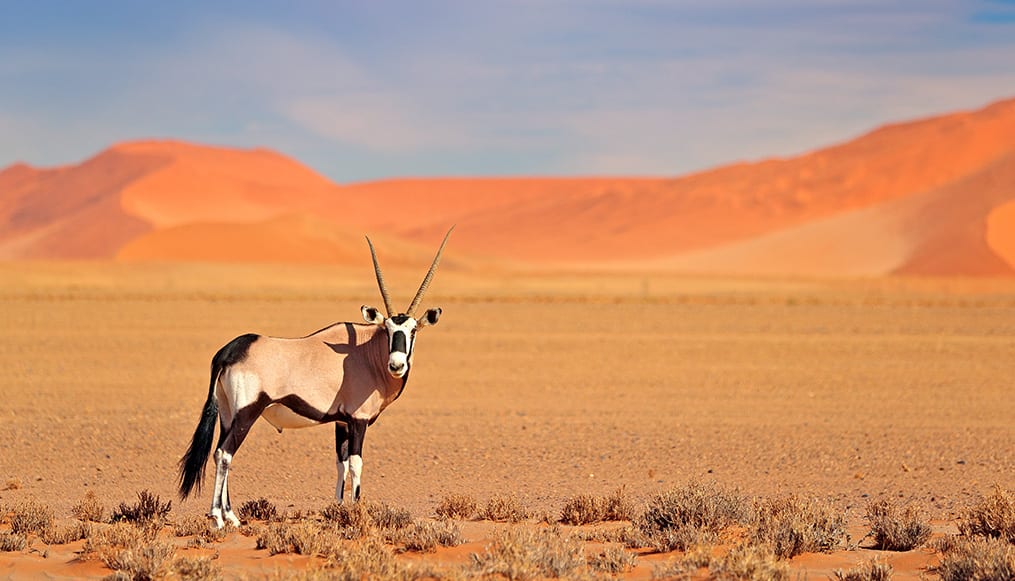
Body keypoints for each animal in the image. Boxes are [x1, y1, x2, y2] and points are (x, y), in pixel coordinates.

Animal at [178, 229, 452, 528]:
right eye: (388, 329)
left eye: (413, 330)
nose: (397, 365)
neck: (366, 353)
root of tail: (229, 351)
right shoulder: (358, 420)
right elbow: (356, 464)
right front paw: (356, 510)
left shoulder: (341, 422)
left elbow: (340, 463)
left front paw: (339, 507)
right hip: (246, 414)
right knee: (224, 454)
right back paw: (218, 517)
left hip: (228, 415)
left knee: (219, 451)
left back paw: (231, 516)